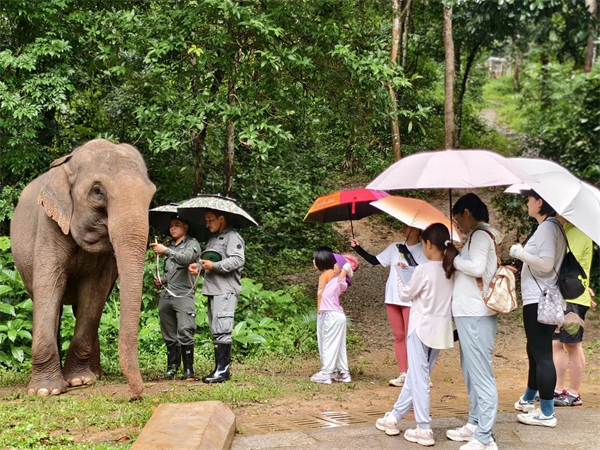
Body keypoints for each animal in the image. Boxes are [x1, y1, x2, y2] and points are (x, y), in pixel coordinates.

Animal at [10, 138, 156, 398]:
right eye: (97, 191)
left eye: (152, 194)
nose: (138, 394)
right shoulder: (48, 224)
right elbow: (49, 286)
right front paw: (45, 391)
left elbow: (94, 294)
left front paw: (80, 381)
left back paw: (95, 374)